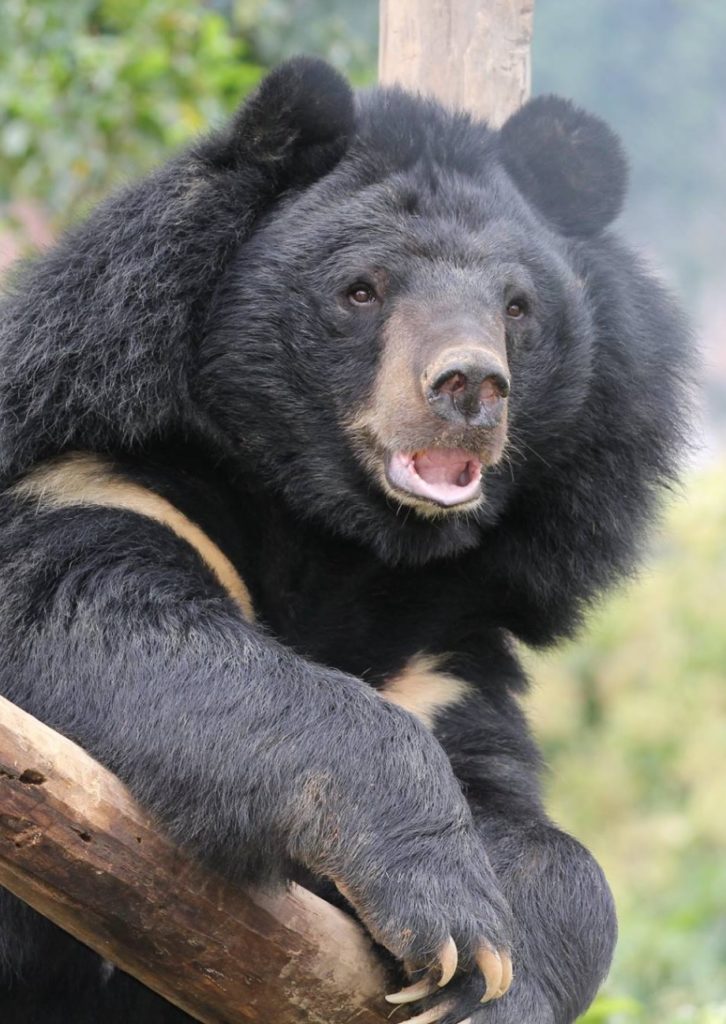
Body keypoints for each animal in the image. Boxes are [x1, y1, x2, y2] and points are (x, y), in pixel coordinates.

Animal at [0, 57, 690, 1024]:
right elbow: (119, 638)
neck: (352, 542)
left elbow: (544, 847)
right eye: (362, 289)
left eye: (518, 307)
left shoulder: (440, 658)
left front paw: (498, 980)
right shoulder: (98, 484)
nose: (471, 386)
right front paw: (443, 903)